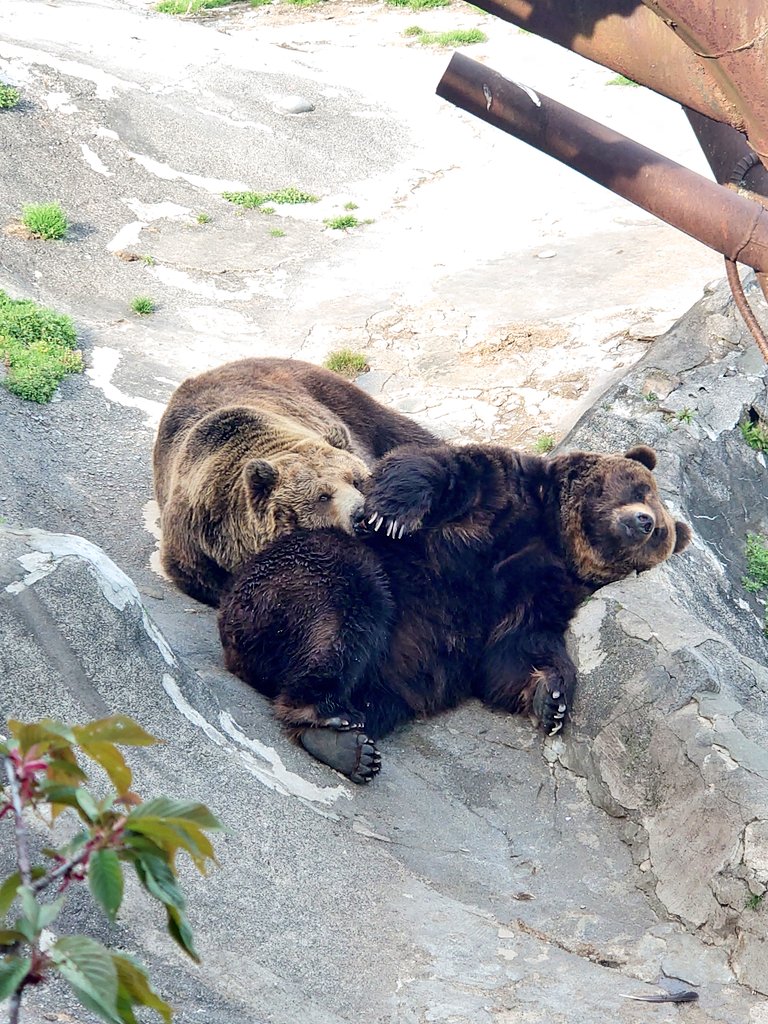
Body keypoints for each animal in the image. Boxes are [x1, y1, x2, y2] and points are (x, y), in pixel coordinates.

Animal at [153, 358, 438, 606]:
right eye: (323, 496)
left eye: (356, 481)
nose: (360, 515)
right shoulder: (196, 532)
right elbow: (197, 572)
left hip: (336, 398)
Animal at [217, 440, 692, 782]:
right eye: (641, 489)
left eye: (662, 533)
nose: (646, 522)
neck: (555, 534)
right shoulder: (503, 492)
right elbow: (435, 468)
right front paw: (391, 514)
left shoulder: (541, 589)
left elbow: (513, 650)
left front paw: (553, 698)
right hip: (293, 577)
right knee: (346, 607)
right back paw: (327, 721)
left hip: (386, 681)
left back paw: (351, 747)